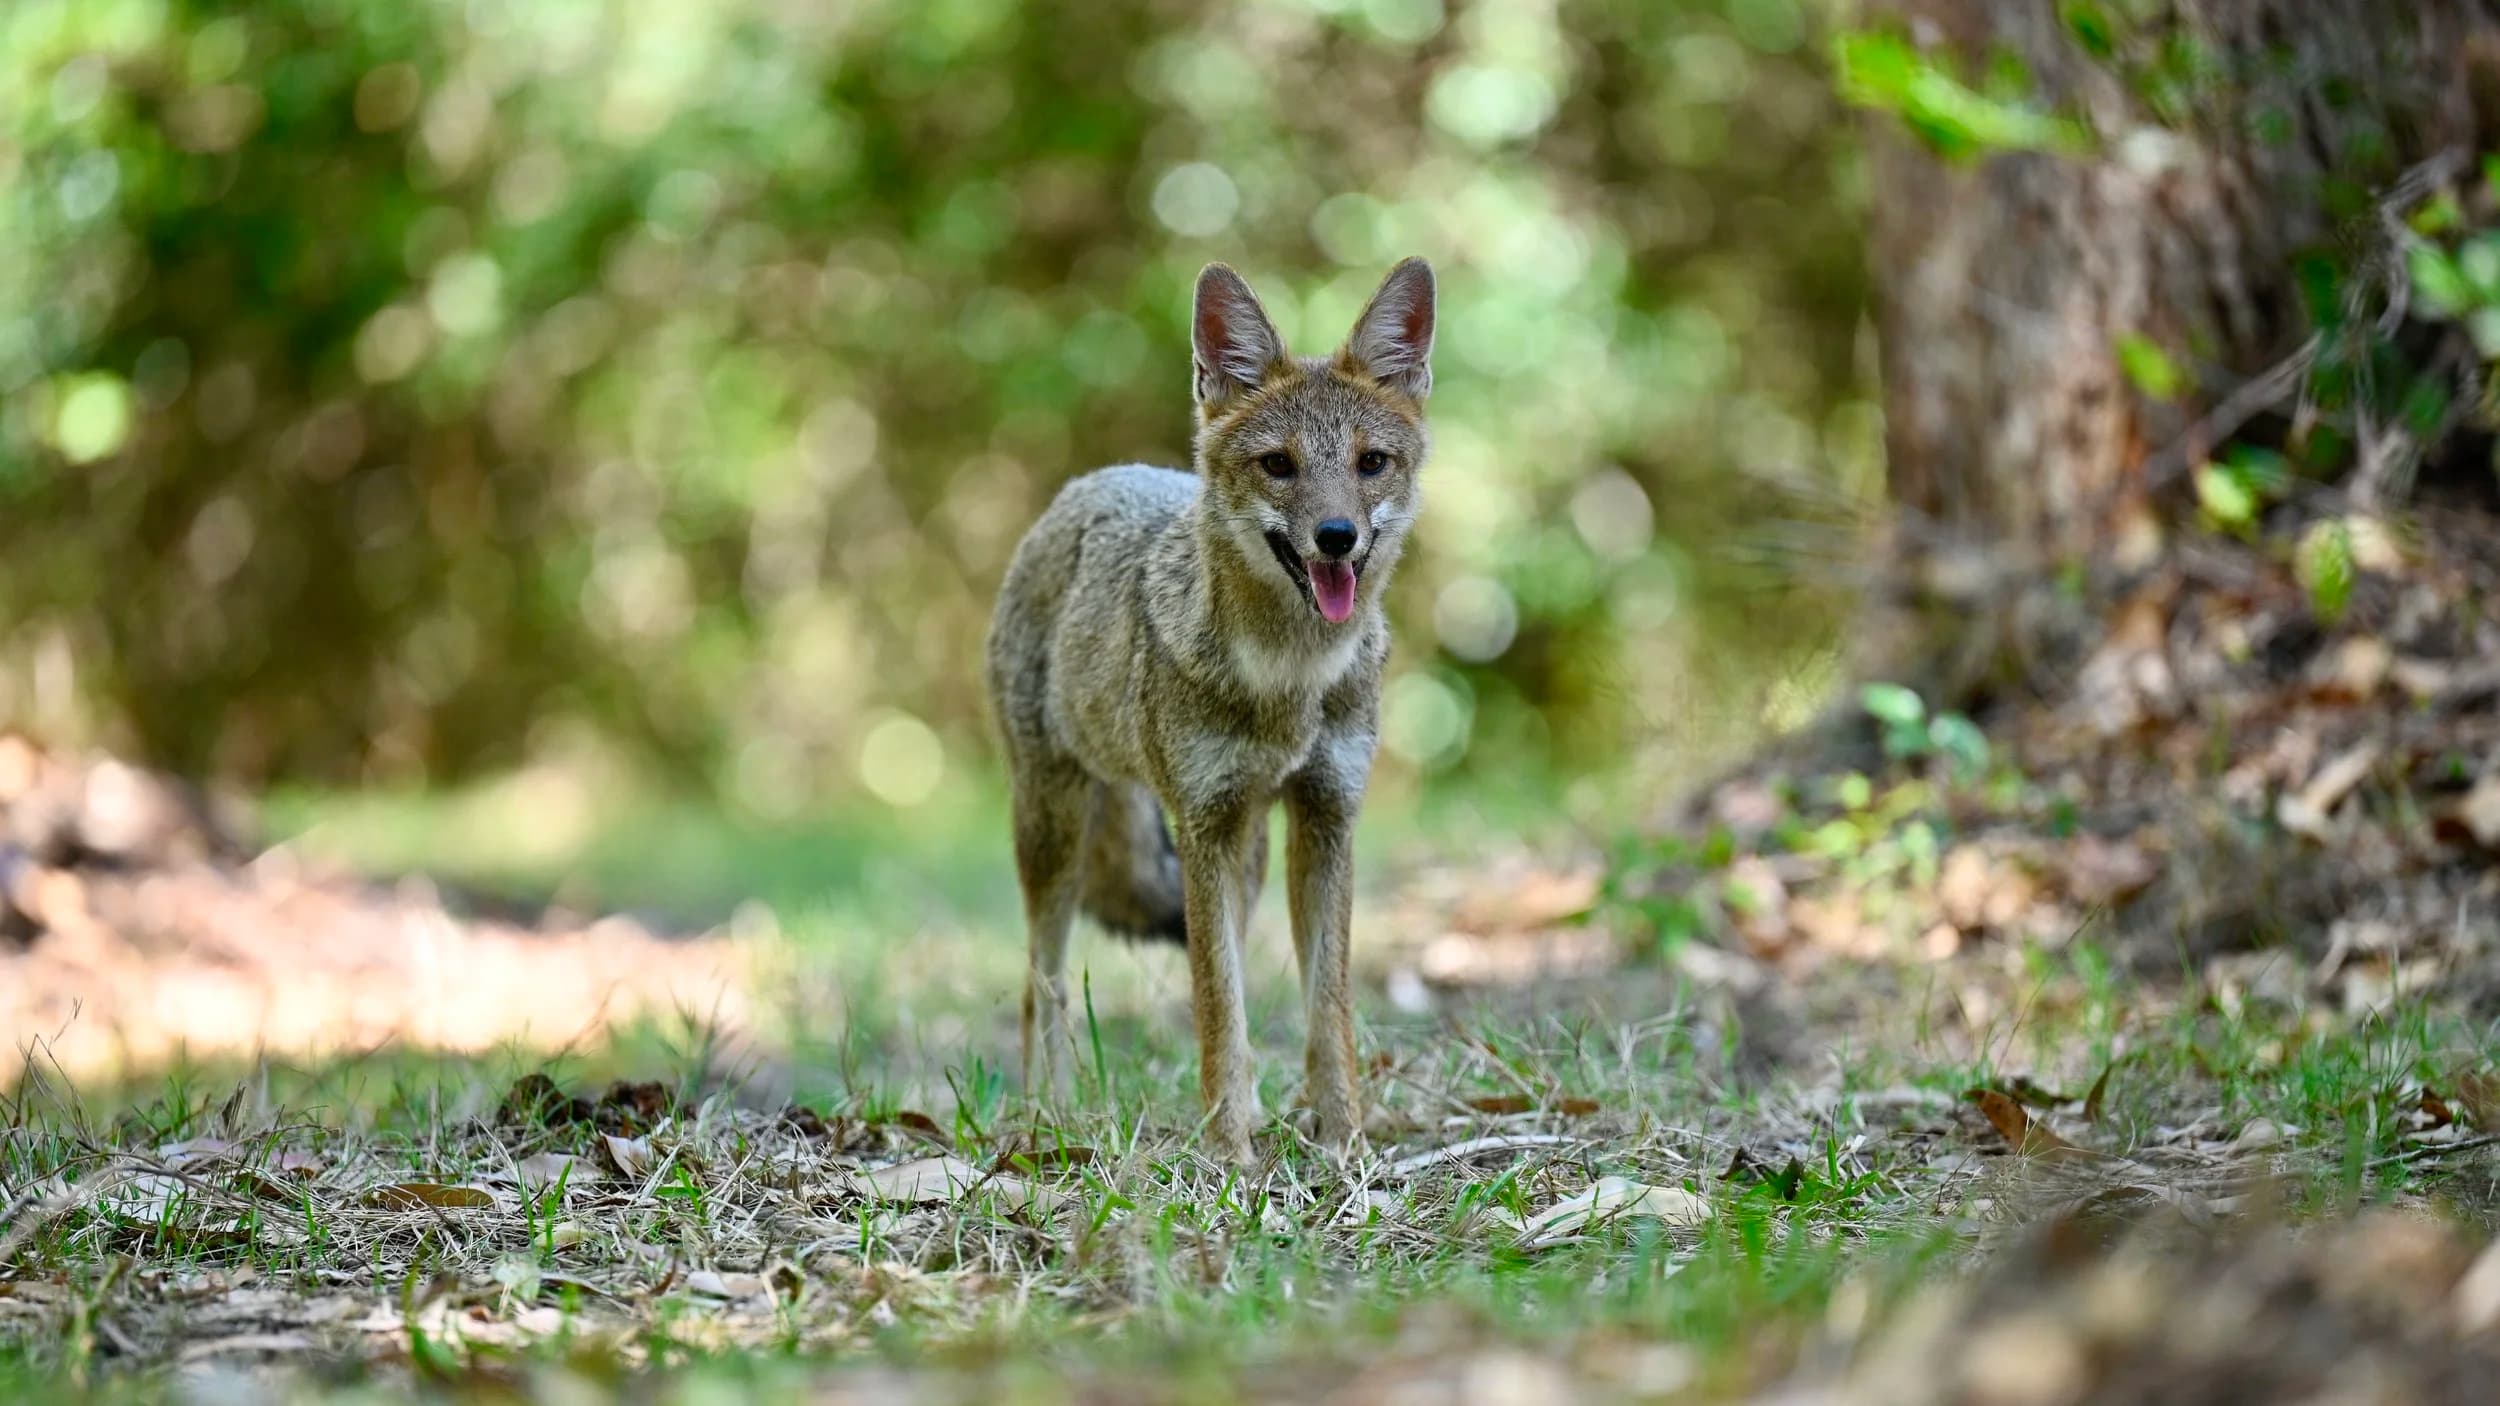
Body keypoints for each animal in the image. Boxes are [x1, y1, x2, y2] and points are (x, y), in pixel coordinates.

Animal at [984, 257, 1436, 1162]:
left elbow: (1325, 1010)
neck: (1290, 682)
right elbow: (1216, 1007)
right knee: (1039, 984)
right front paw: (1228, 1155)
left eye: (1370, 462)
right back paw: (1050, 1119)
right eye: (1279, 465)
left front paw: (1344, 1145)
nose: (1337, 536)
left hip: (1249, 855)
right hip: (1055, 833)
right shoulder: (1200, 828)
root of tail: (1092, 481)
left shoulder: (1326, 817)